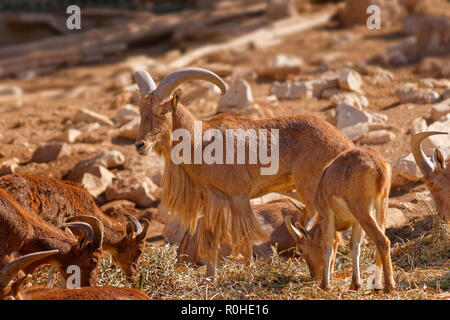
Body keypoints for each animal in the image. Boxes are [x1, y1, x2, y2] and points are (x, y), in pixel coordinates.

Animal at [284, 148, 394, 292]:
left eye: (301, 249)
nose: (314, 275)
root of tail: (378, 167)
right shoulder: (356, 221)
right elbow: (354, 246)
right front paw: (354, 284)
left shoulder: (327, 215)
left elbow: (328, 247)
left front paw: (324, 285)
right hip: (381, 205)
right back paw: (377, 284)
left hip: (362, 210)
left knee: (382, 241)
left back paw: (389, 286)